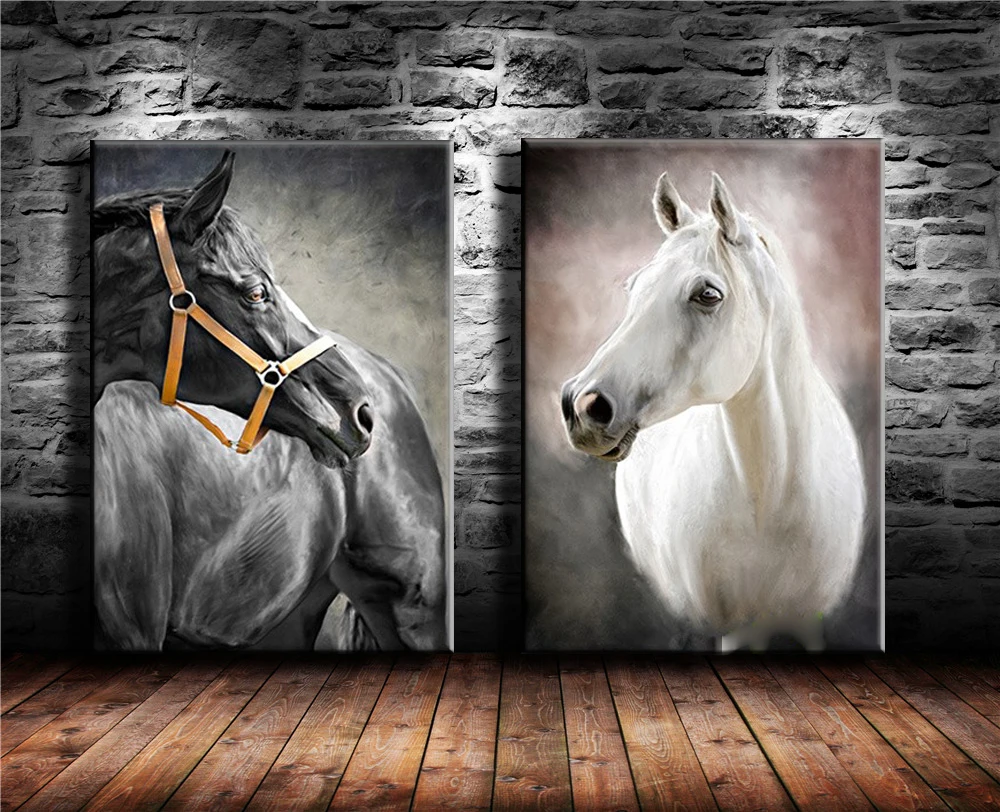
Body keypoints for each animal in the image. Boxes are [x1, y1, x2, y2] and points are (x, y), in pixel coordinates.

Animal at [560, 172, 865, 652]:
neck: (770, 498)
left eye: (708, 294)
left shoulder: (810, 615)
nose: (580, 404)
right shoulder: (738, 625)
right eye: (634, 287)